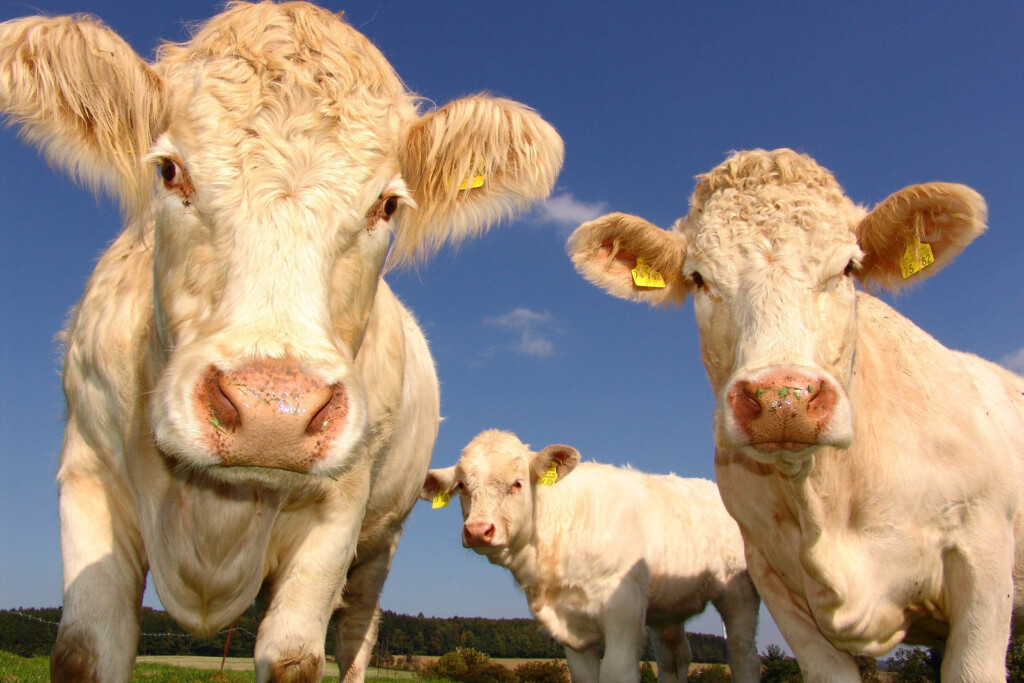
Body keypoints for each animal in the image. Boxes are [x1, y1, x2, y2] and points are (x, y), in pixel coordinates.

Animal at [0, 3, 563, 681]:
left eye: (387, 205)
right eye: (169, 170)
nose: (273, 412)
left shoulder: (339, 510)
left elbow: (296, 655)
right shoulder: (88, 475)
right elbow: (84, 649)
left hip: (379, 542)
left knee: (354, 635)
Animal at [421, 429, 762, 683]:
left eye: (517, 483)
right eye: (462, 486)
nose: (478, 530)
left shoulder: (623, 609)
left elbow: (618, 672)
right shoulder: (571, 629)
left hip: (738, 591)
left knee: (742, 654)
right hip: (666, 608)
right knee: (675, 658)